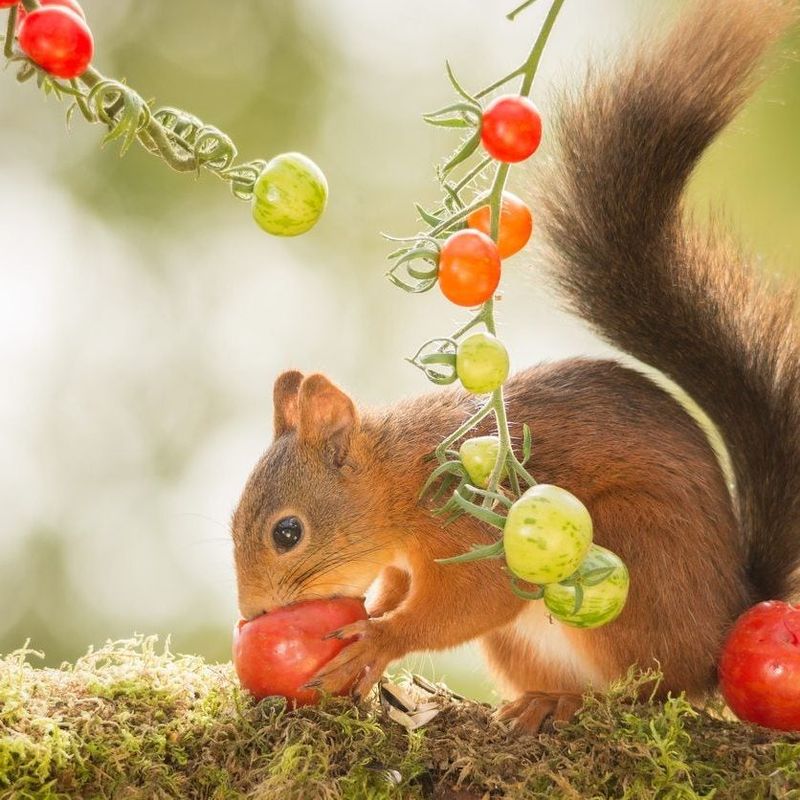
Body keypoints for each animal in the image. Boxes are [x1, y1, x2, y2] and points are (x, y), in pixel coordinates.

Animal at [231, 0, 800, 732]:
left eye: (288, 532)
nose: (252, 615)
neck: (399, 479)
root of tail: (723, 625)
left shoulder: (470, 525)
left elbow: (474, 598)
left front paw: (380, 637)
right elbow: (403, 587)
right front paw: (378, 616)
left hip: (632, 557)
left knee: (653, 689)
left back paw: (581, 702)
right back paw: (541, 700)